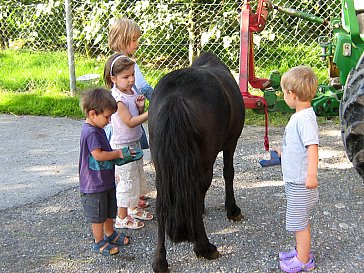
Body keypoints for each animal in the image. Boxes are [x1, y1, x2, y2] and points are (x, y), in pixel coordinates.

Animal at [148, 52, 245, 270]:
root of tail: (175, 98)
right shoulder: (231, 142)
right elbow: (229, 173)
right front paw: (232, 209)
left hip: (161, 168)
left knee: (161, 202)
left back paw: (160, 261)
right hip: (204, 162)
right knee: (197, 190)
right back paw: (204, 247)